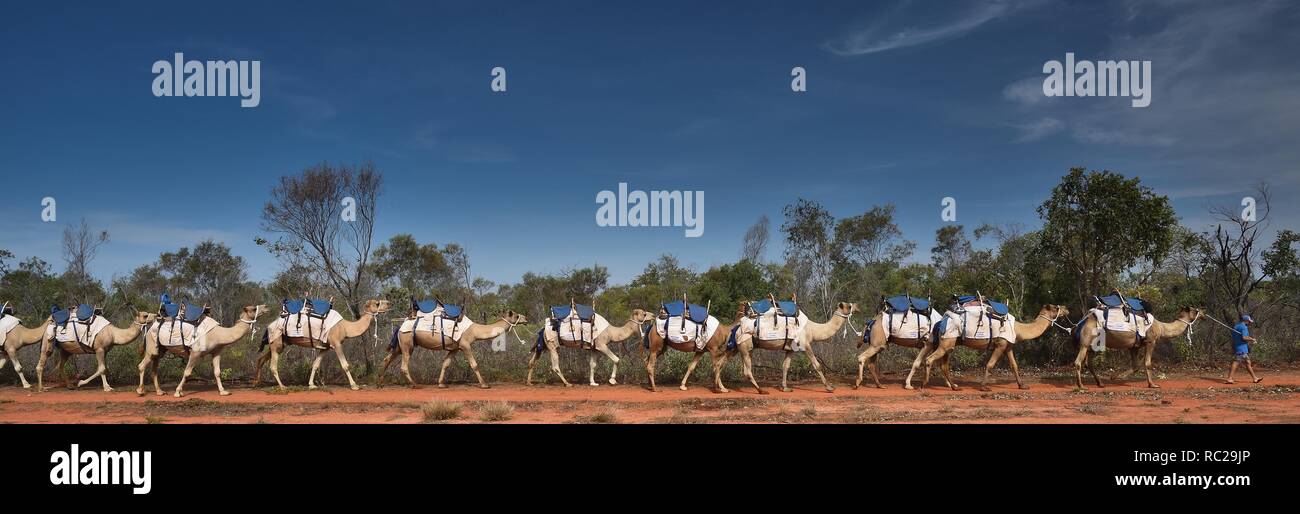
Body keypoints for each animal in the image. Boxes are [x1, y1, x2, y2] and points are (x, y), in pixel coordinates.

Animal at [134, 304, 266, 397]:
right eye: (253, 308)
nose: (265, 307)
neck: (218, 334)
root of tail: (150, 328)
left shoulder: (216, 351)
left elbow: (217, 372)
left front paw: (223, 391)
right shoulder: (195, 352)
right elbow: (187, 372)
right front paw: (178, 392)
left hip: (160, 350)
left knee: (154, 369)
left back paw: (160, 392)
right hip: (151, 346)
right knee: (141, 365)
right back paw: (140, 391)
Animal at [253, 299, 391, 391]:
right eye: (377, 303)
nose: (389, 303)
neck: (345, 327)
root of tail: (269, 326)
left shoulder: (325, 347)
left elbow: (315, 364)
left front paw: (311, 385)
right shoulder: (336, 344)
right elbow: (345, 365)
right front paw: (354, 385)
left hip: (279, 343)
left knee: (261, 359)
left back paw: (257, 382)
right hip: (276, 342)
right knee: (273, 366)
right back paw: (282, 386)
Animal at [377, 309, 528, 389]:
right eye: (516, 315)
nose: (526, 319)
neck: (474, 330)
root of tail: (400, 327)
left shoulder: (455, 348)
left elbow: (445, 363)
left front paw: (441, 384)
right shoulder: (465, 345)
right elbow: (474, 364)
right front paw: (484, 384)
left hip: (401, 345)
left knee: (387, 359)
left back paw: (380, 383)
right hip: (407, 343)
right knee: (403, 365)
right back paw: (415, 384)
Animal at [1072, 306, 1201, 389]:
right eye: (1196, 310)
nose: (1203, 314)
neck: (1161, 327)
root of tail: (1084, 319)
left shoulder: (1134, 347)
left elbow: (1135, 366)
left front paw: (1115, 377)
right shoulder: (1151, 341)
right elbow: (1147, 363)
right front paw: (1153, 385)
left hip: (1095, 344)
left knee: (1088, 363)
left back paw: (1100, 383)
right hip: (1087, 339)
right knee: (1078, 361)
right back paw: (1081, 386)